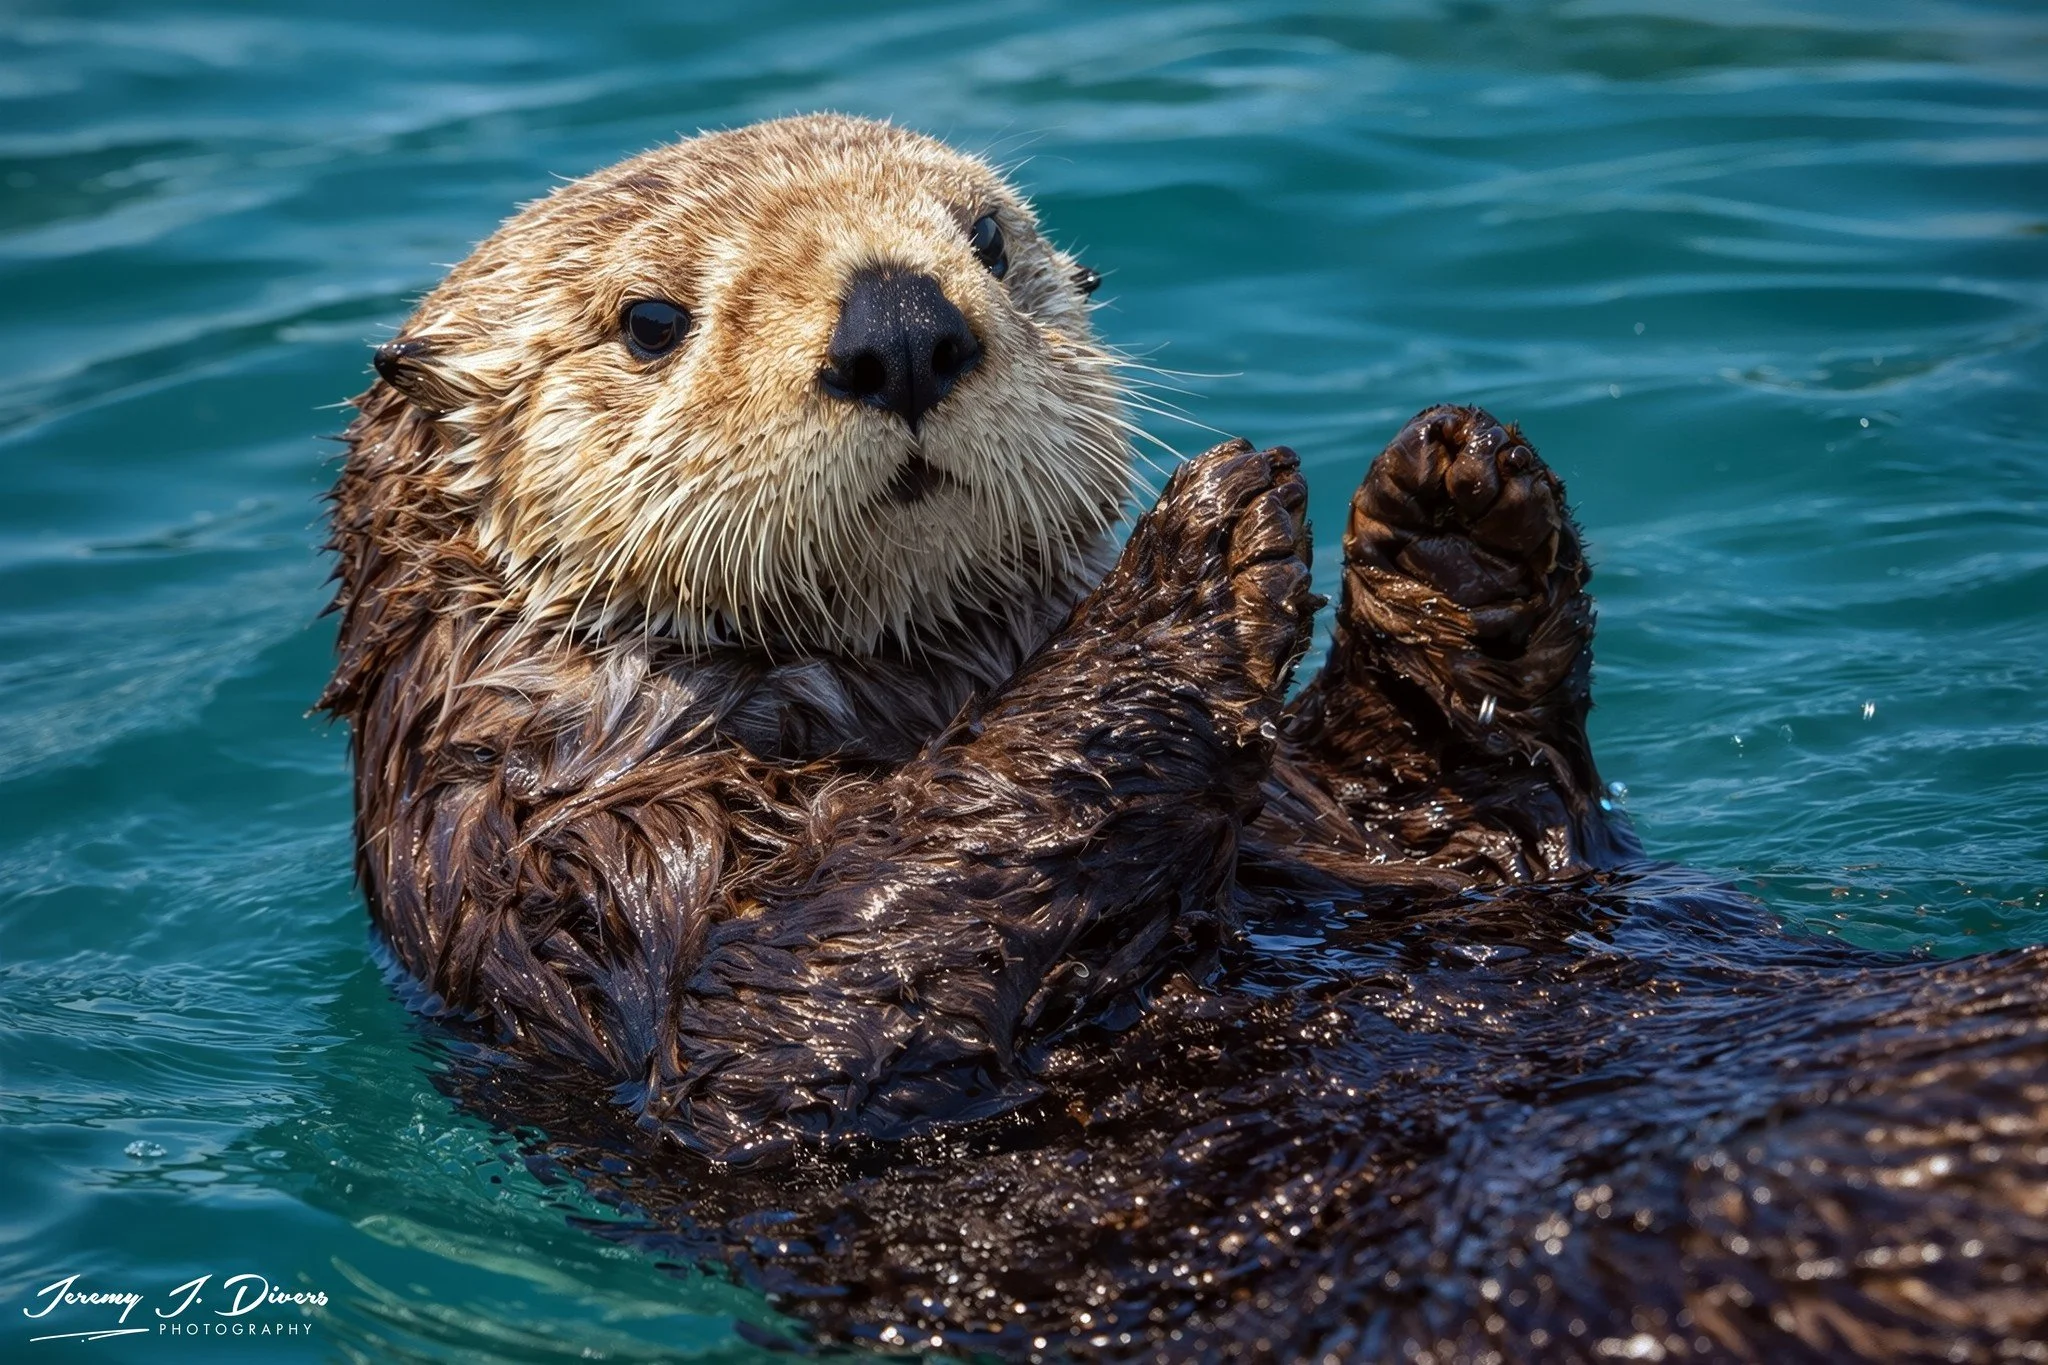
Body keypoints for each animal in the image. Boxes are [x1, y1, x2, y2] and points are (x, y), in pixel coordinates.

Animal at [323, 115, 2048, 1361]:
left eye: (988, 240)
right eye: (649, 319)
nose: (904, 326)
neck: (900, 699)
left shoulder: (1391, 836)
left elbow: (1477, 819)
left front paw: (1455, 511)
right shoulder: (563, 889)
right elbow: (809, 1009)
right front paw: (1194, 557)